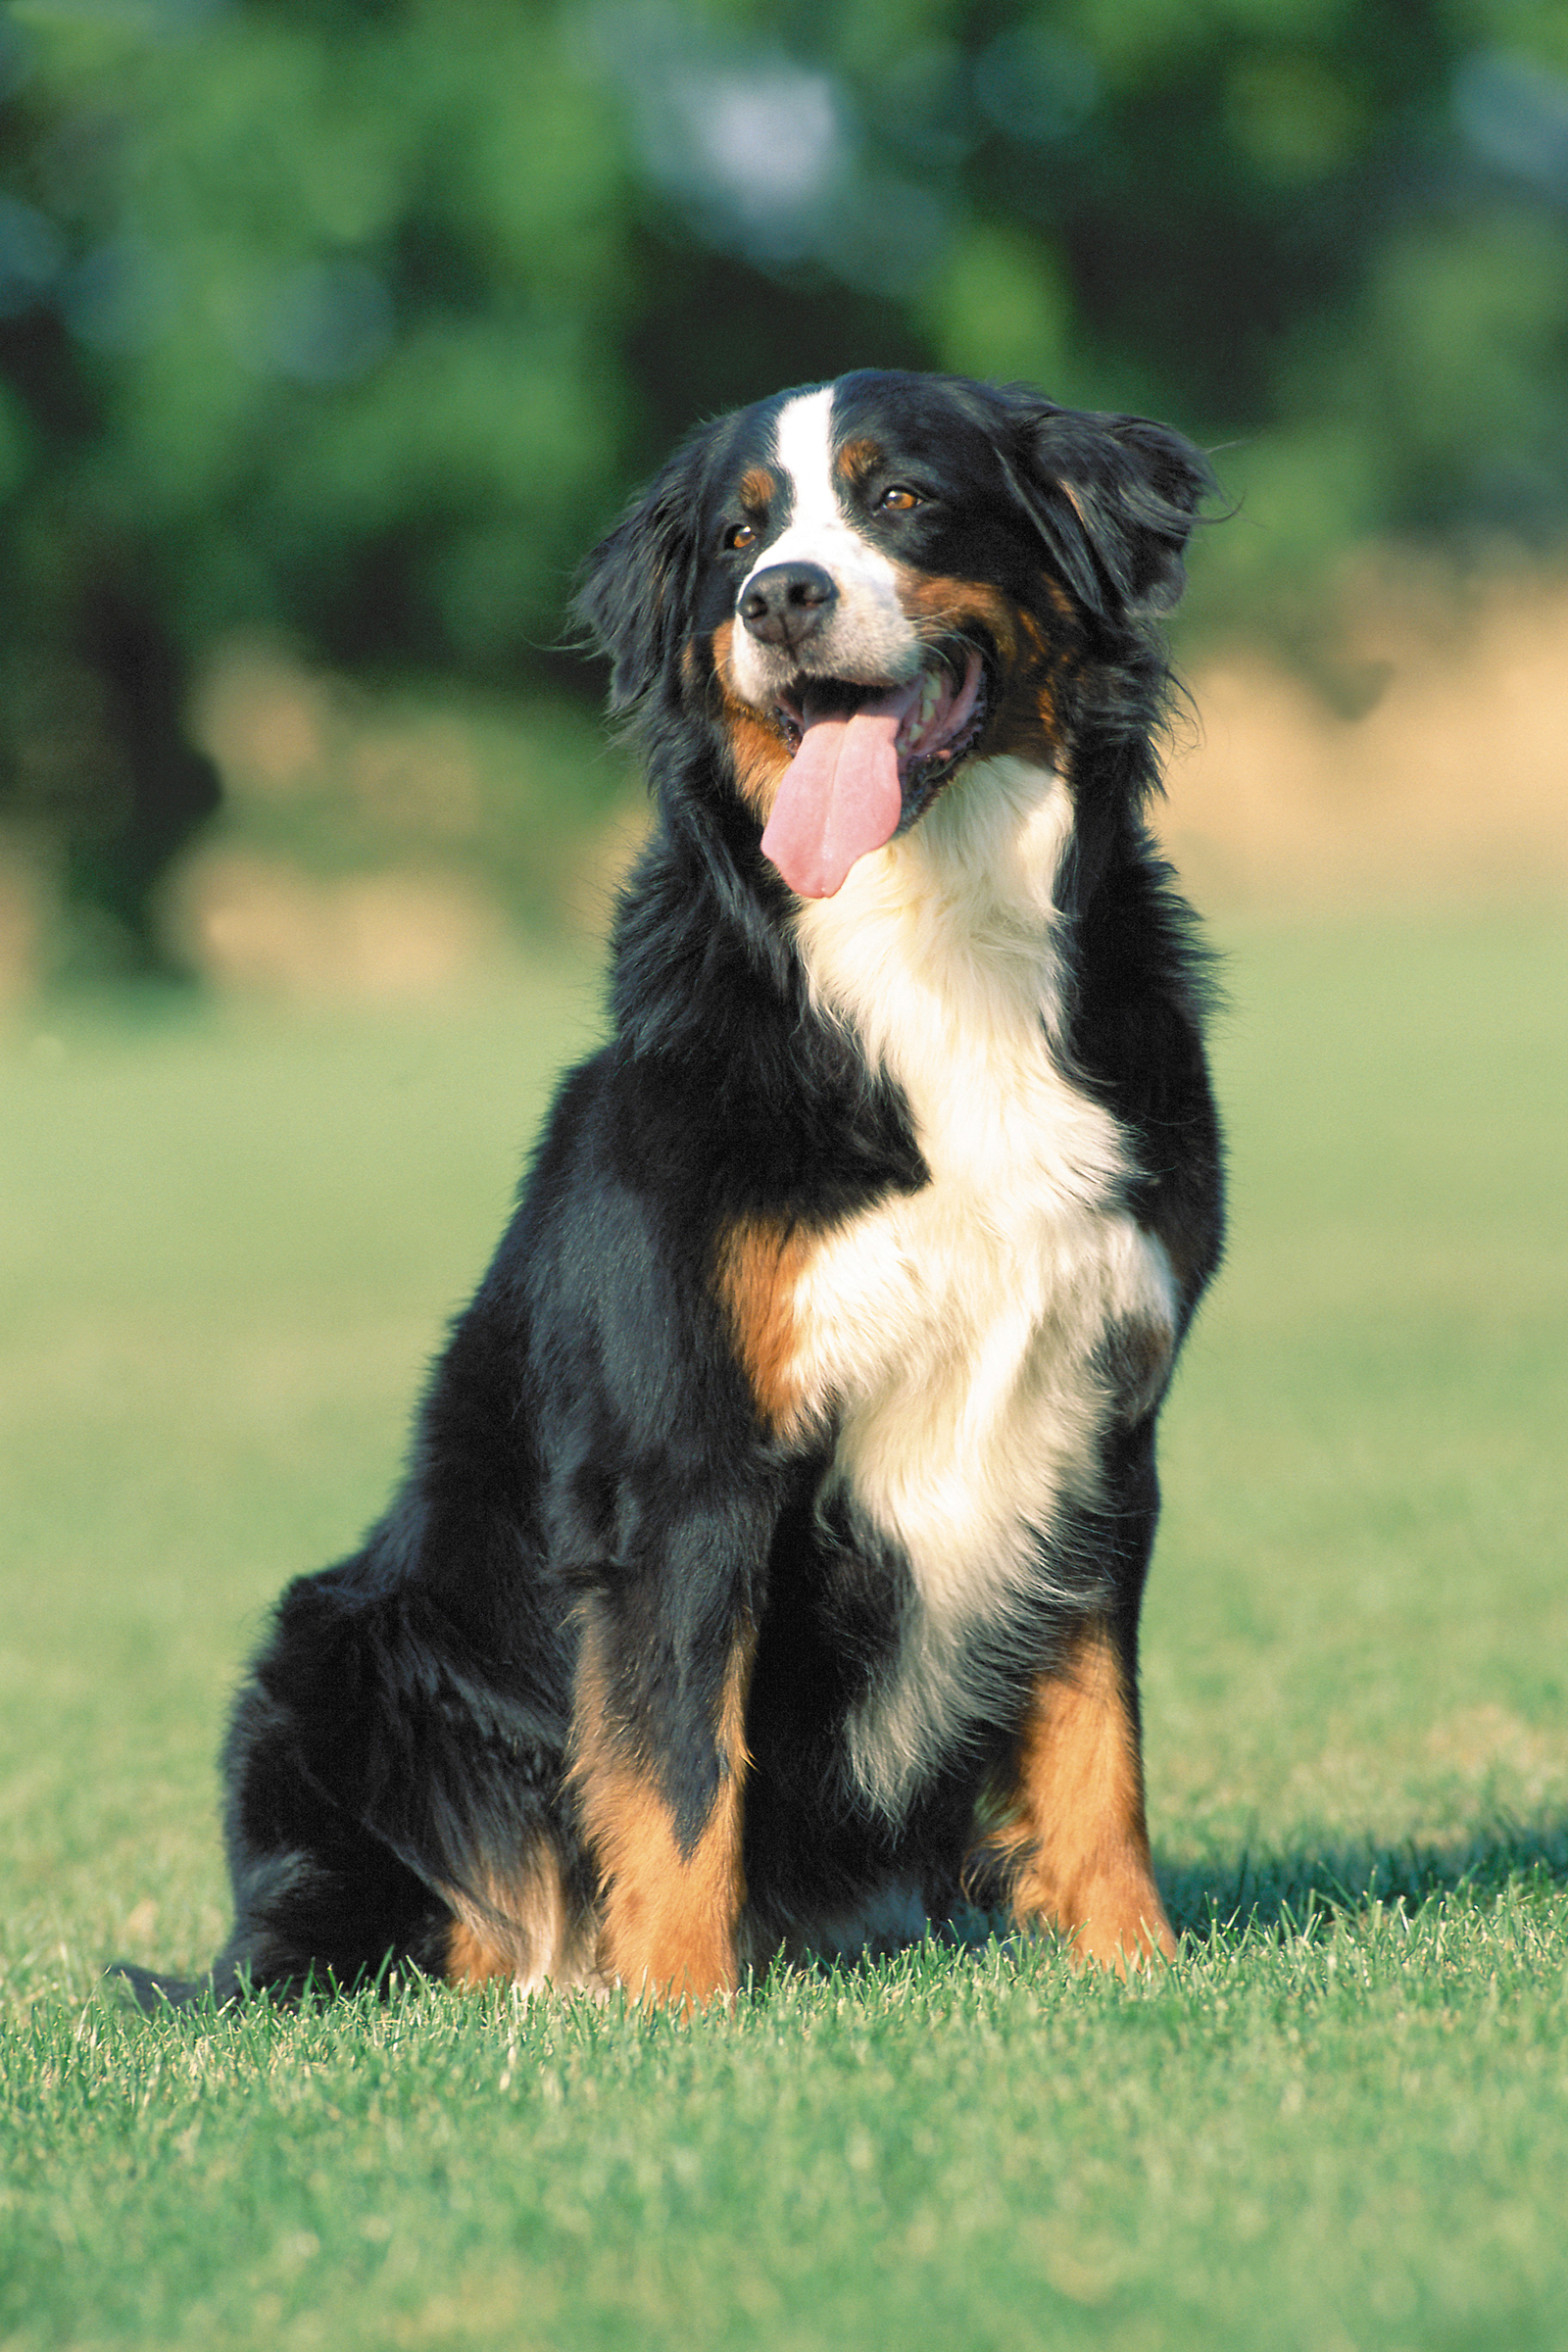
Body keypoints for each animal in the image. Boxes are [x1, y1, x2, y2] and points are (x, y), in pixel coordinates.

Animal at [122, 371, 1222, 2023]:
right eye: (736, 537)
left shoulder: (1096, 1424)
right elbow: (680, 1759)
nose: (783, 599)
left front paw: (1135, 1966)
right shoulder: (686, 1452)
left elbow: (1100, 1745)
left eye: (901, 498)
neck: (932, 945)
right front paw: (684, 2017)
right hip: (332, 1656)